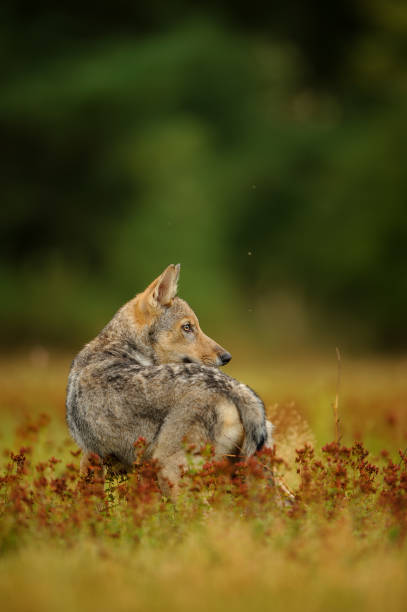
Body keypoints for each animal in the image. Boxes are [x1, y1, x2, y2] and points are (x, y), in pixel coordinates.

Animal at [66, 262, 270, 498]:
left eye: (194, 326)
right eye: (188, 327)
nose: (227, 357)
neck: (116, 346)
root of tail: (232, 386)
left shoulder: (90, 456)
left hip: (170, 472)